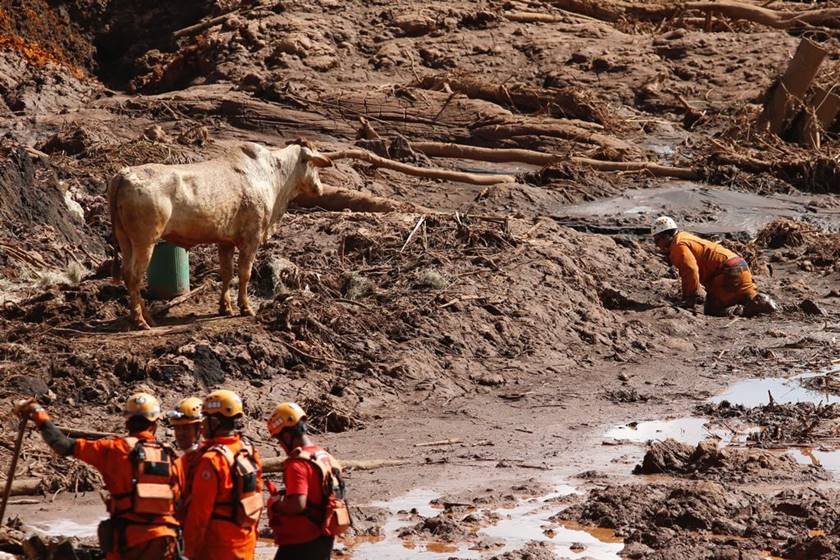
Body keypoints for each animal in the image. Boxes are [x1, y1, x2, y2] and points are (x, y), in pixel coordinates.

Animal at [104, 140, 328, 330]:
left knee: (126, 273)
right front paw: (245, 307)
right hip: (145, 241)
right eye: (313, 165)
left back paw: (146, 317)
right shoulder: (251, 238)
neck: (273, 176)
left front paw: (225, 307)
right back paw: (140, 321)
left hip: (125, 239)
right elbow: (244, 273)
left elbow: (227, 273)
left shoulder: (225, 241)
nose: (320, 188)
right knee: (135, 276)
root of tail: (124, 174)